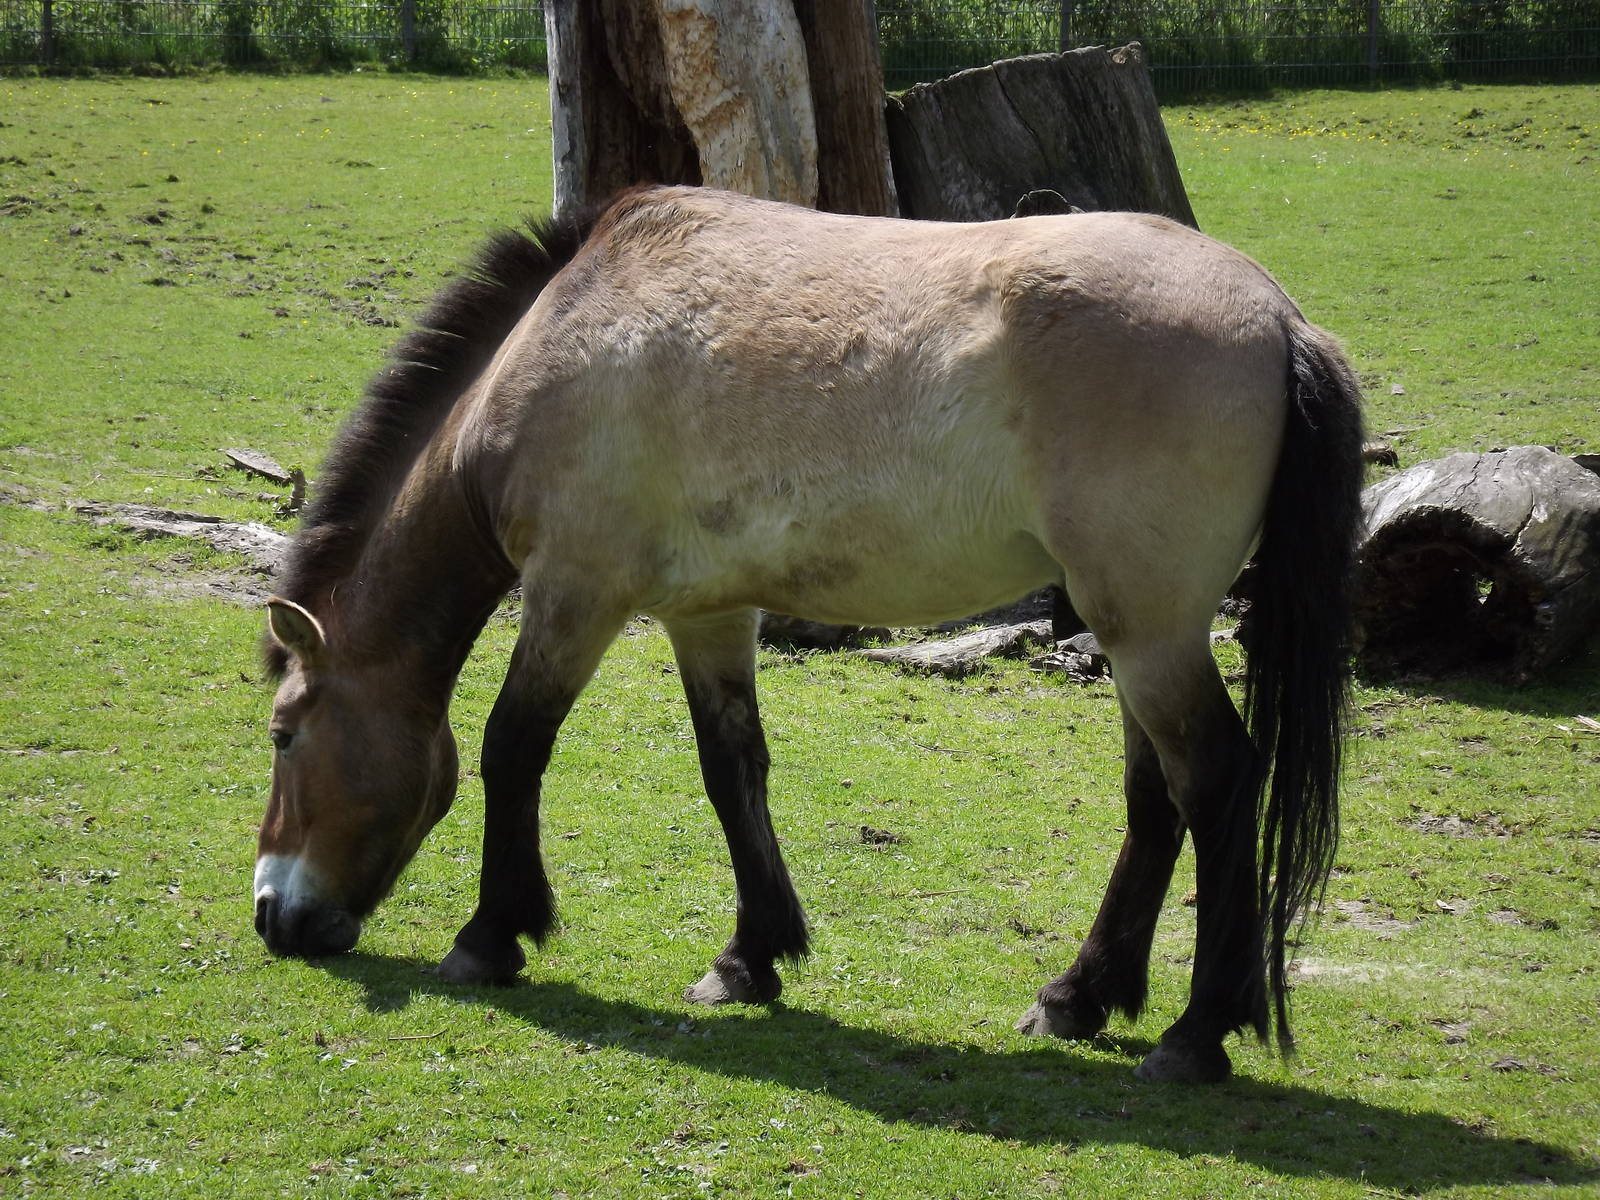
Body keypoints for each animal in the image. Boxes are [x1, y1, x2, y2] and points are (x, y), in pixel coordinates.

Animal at [252, 185, 1365, 1083]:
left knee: (1215, 781)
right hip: (1136, 632)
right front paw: (750, 958)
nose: (274, 915)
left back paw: (1194, 1036)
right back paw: (1078, 997)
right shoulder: (706, 615)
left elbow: (512, 747)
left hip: (1150, 632)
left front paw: (491, 936)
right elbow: (731, 770)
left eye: (284, 734)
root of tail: (1278, 319)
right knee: (1155, 799)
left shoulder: (575, 593)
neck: (563, 337)